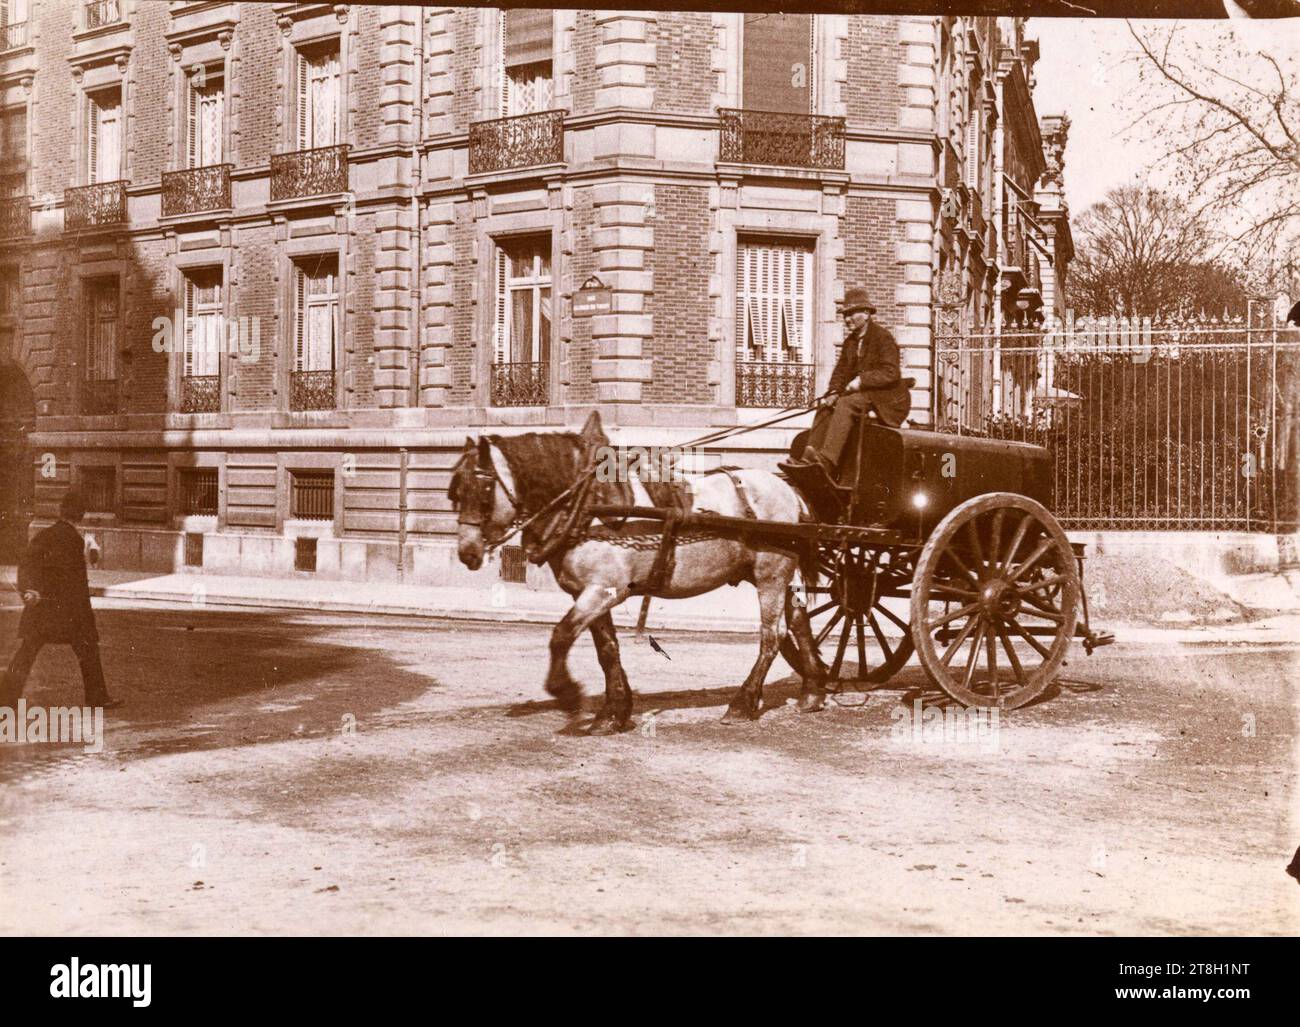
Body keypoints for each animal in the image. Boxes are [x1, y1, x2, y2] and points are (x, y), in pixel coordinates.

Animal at [452, 410, 826, 733]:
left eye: (483, 492)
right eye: (455, 492)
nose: (467, 553)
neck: (589, 507)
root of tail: (787, 489)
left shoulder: (603, 590)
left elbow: (561, 635)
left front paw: (567, 693)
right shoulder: (590, 592)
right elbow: (607, 650)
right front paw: (613, 712)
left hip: (771, 574)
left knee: (772, 635)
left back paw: (743, 703)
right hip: (774, 574)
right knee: (799, 623)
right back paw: (813, 690)